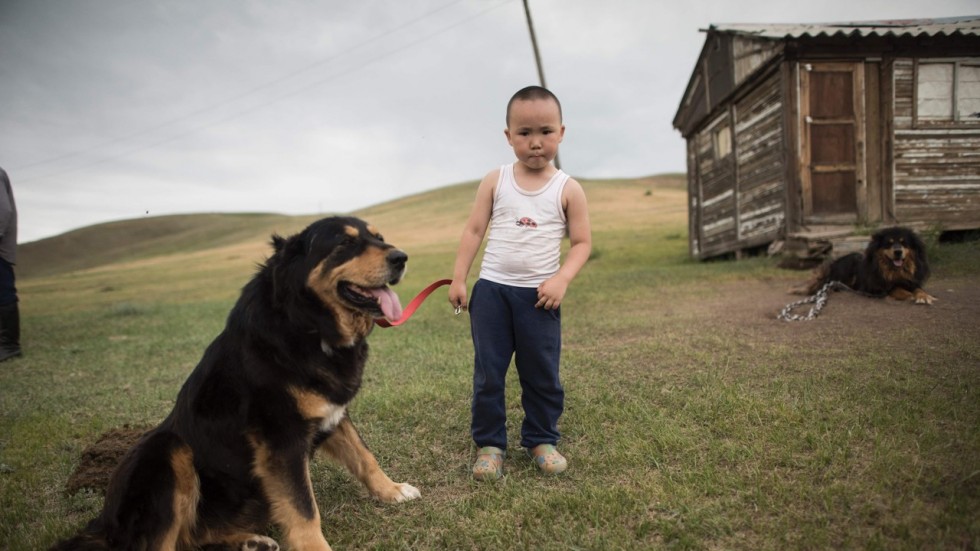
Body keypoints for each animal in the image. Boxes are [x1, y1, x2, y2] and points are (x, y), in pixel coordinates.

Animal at [50, 217, 418, 551]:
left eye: (379, 237)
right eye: (344, 243)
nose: (401, 257)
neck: (305, 322)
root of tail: (103, 525)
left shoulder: (333, 413)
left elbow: (364, 457)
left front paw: (392, 490)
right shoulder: (281, 438)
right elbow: (303, 507)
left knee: (191, 539)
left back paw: (250, 542)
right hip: (166, 451)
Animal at [796, 227, 936, 306]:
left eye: (904, 243)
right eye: (888, 243)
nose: (898, 251)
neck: (895, 270)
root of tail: (832, 266)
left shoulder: (912, 282)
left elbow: (919, 290)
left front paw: (924, 297)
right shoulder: (879, 288)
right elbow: (896, 289)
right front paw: (909, 295)